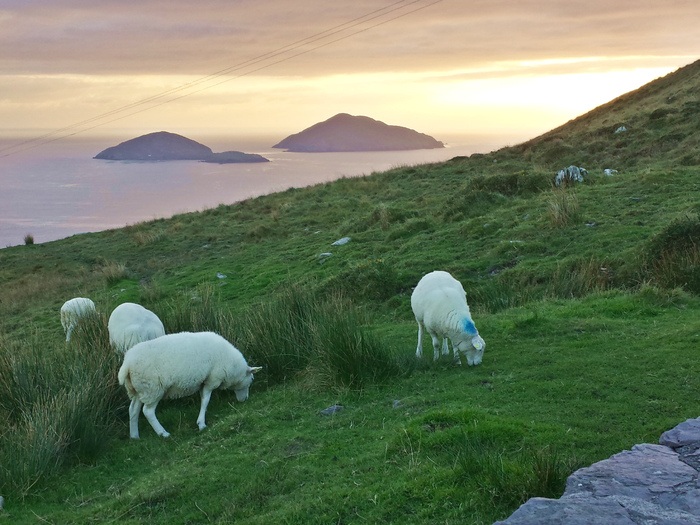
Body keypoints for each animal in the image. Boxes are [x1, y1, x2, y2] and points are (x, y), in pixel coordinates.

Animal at [118, 331, 262, 439]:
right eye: (251, 378)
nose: (245, 399)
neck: (232, 366)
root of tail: (127, 364)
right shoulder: (212, 379)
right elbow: (205, 400)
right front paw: (201, 424)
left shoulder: (204, 381)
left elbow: (204, 399)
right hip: (153, 389)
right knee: (148, 412)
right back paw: (163, 433)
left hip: (138, 390)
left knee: (133, 410)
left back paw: (134, 436)